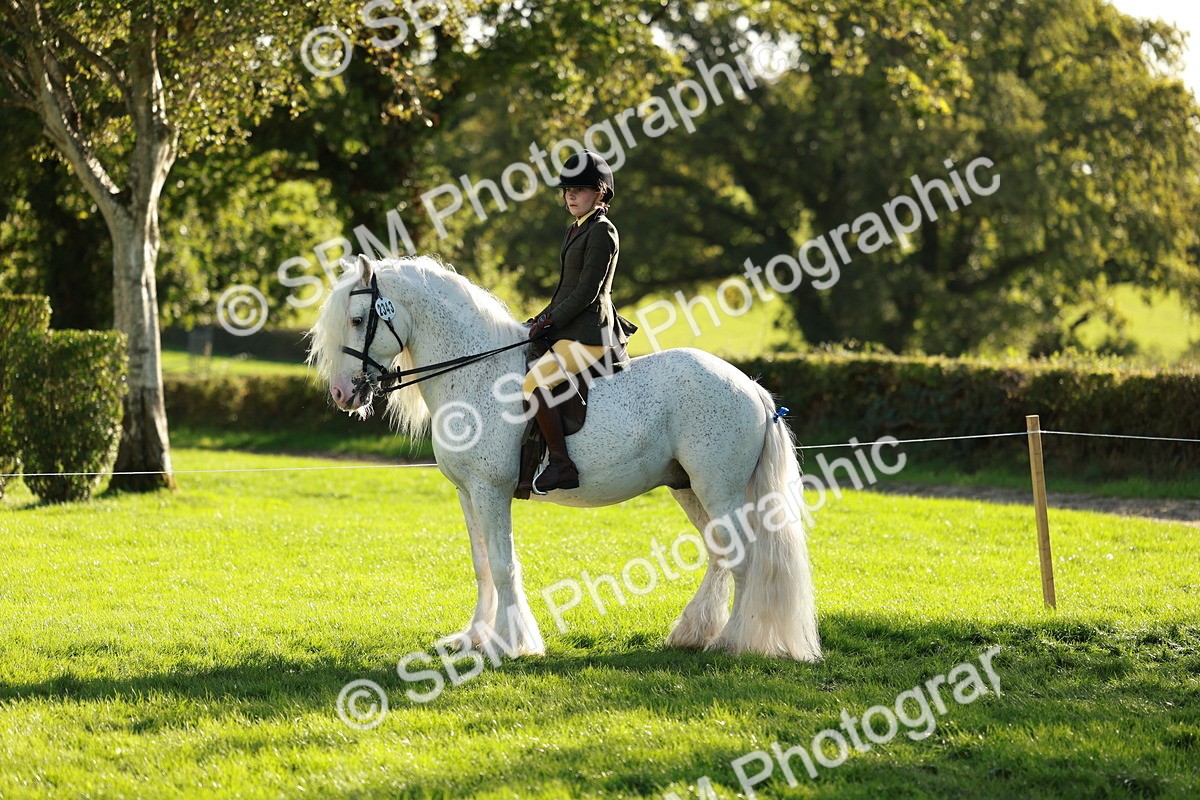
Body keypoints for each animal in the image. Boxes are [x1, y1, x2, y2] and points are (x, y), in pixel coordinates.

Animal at [308, 255, 821, 662]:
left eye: (357, 320)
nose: (342, 395)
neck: (477, 372)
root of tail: (751, 387)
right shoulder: (467, 492)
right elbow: (481, 565)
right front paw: (474, 638)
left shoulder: (491, 490)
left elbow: (503, 565)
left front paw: (511, 644)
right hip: (689, 488)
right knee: (722, 554)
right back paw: (695, 634)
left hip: (719, 489)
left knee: (744, 560)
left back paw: (733, 643)